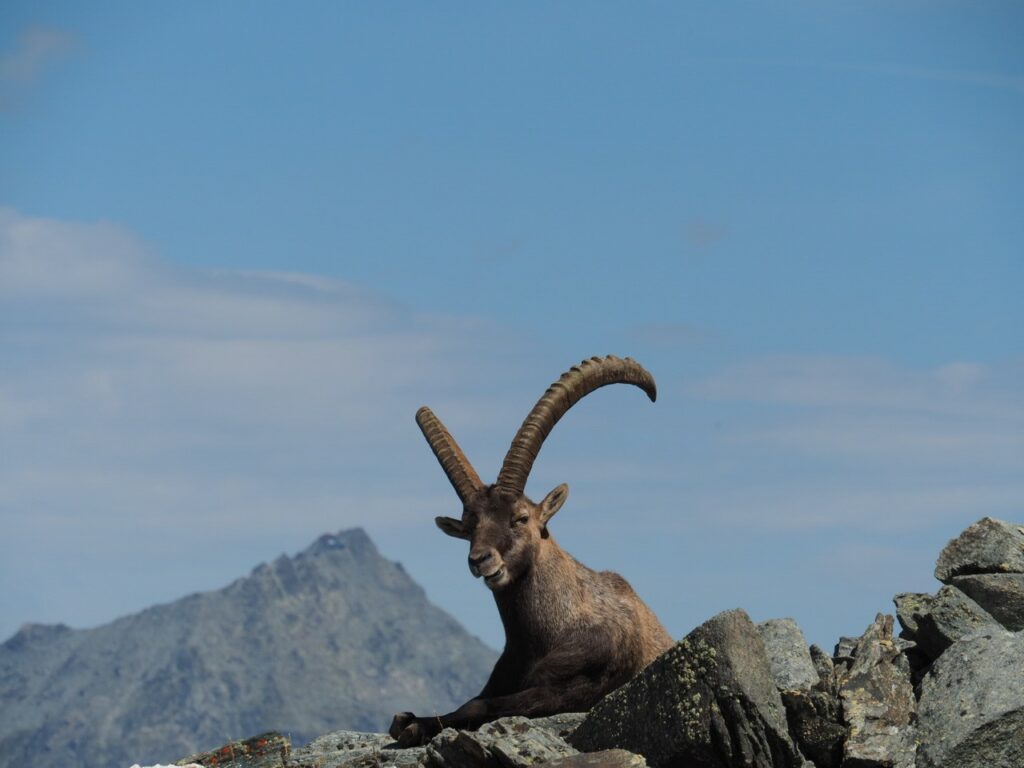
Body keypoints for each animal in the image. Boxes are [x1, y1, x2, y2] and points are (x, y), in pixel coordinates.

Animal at [389, 355, 674, 747]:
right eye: (468, 528)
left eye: (521, 518)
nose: (480, 560)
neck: (548, 631)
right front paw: (410, 721)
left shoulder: (575, 689)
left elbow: (477, 706)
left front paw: (413, 726)